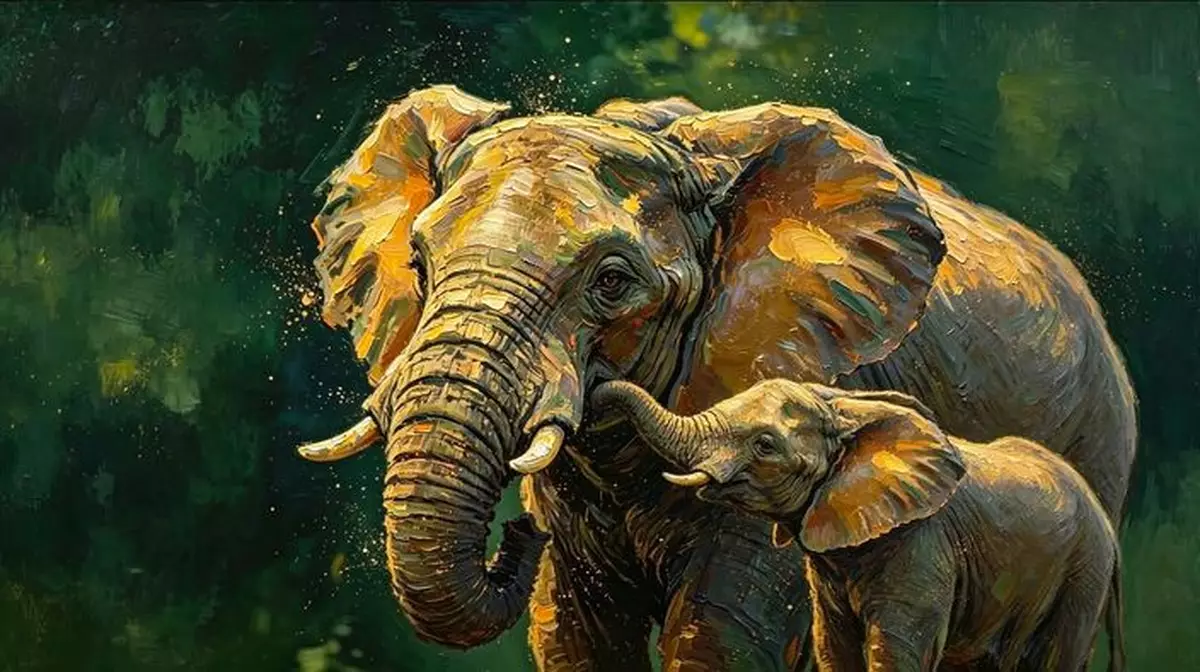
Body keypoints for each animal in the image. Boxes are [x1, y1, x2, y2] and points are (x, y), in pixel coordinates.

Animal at [594, 378, 1125, 672]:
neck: (844, 408)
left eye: (765, 445)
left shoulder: (922, 545)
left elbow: (896, 651)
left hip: (1082, 576)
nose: (595, 396)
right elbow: (835, 647)